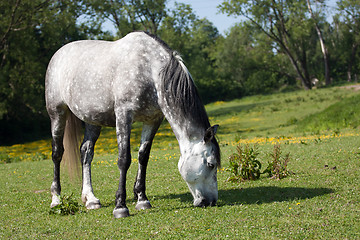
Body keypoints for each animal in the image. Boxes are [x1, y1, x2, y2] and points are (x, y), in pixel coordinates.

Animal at [45, 31, 219, 218]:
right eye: (211, 164)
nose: (211, 201)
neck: (150, 71)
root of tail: (58, 54)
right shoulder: (123, 116)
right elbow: (124, 160)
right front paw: (120, 207)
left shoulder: (153, 120)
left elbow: (143, 156)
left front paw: (142, 199)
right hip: (57, 113)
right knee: (57, 154)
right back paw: (56, 199)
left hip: (93, 120)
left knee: (86, 152)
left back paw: (90, 199)